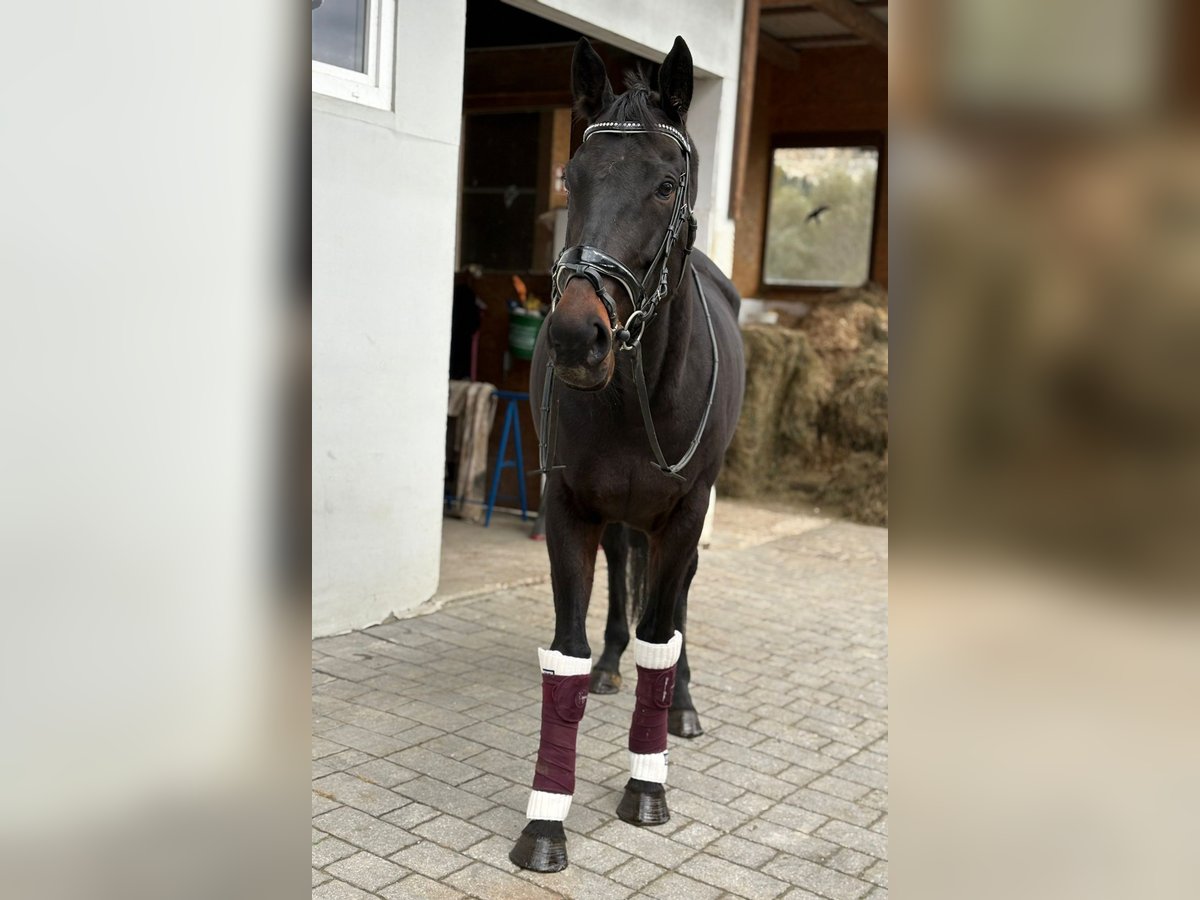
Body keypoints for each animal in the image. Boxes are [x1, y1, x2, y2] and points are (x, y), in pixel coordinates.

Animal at [509, 36, 746, 873]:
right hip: (618, 517)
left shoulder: (683, 514)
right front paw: (545, 822)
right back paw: (616, 665)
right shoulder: (570, 508)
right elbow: (569, 654)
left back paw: (683, 705)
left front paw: (647, 785)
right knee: (623, 582)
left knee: (671, 618)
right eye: (572, 178)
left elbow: (662, 636)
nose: (578, 337)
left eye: (665, 184)